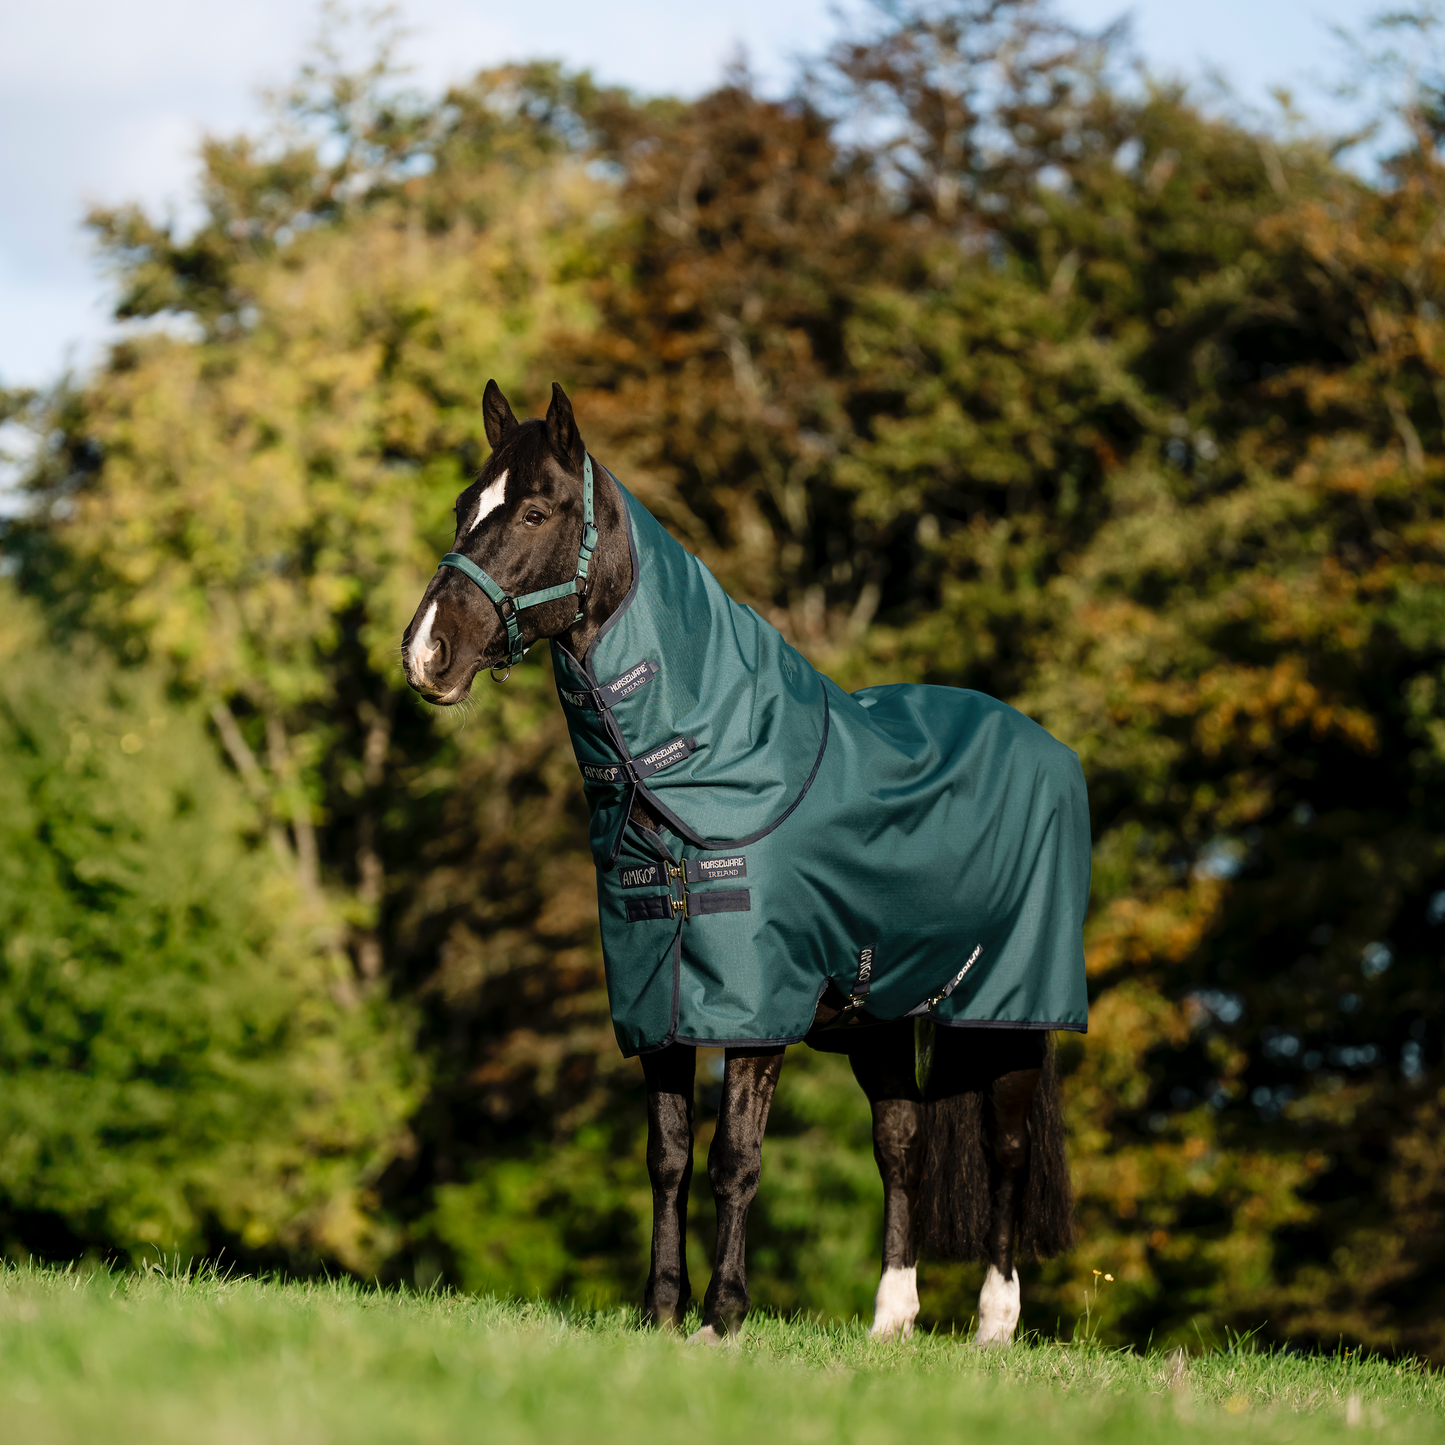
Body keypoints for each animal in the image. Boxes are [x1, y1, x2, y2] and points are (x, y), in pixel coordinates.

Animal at [402, 381, 1087, 1345]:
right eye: (466, 506)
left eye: (534, 510)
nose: (426, 652)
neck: (704, 767)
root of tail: (1047, 748)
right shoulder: (657, 1001)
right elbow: (668, 1156)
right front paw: (659, 1310)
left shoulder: (755, 1014)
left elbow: (735, 1157)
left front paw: (721, 1317)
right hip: (879, 1017)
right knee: (902, 1143)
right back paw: (890, 1318)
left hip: (1007, 1013)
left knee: (1006, 1146)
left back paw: (994, 1321)